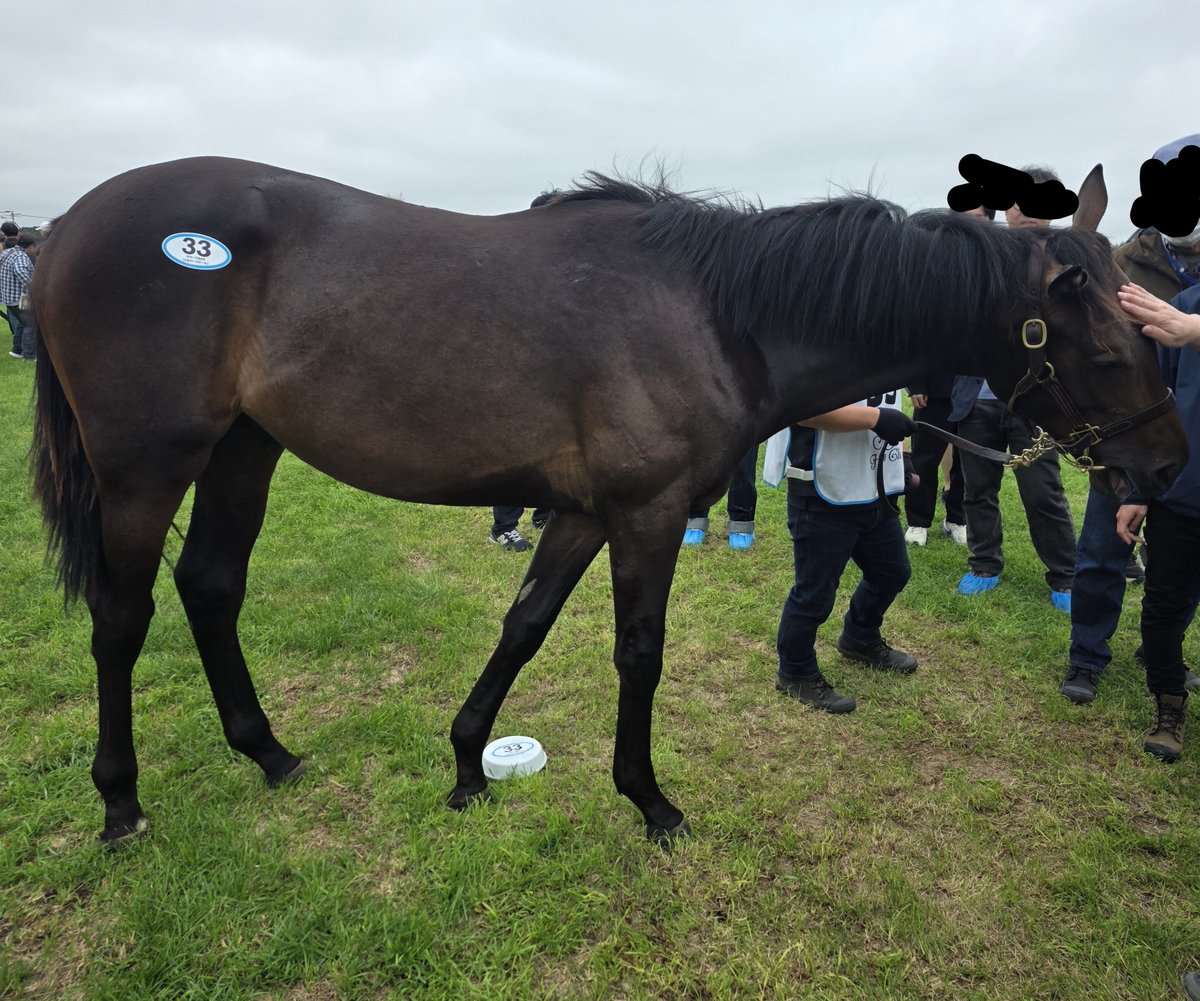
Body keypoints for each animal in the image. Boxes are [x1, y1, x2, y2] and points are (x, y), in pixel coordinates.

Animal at [30, 157, 1186, 845]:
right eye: (1109, 345)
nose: (1169, 468)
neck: (718, 311)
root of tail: (65, 227)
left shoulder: (582, 511)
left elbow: (525, 625)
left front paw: (468, 762)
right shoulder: (644, 513)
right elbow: (639, 652)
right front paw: (649, 797)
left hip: (243, 449)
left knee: (211, 586)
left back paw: (268, 752)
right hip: (145, 465)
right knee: (123, 617)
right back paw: (120, 800)